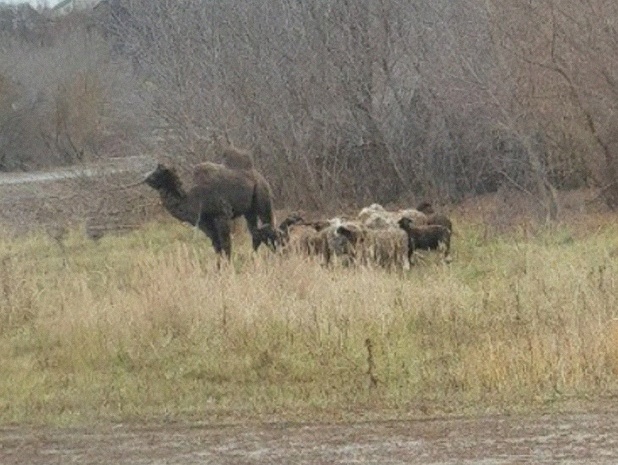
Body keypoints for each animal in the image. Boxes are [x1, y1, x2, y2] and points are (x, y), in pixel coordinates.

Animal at [144, 161, 274, 258]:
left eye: (158, 171)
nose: (145, 177)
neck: (193, 198)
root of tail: (261, 177)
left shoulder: (222, 215)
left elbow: (225, 244)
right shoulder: (204, 223)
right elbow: (217, 246)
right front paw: (218, 269)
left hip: (262, 200)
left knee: (268, 227)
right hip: (249, 211)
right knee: (256, 233)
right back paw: (255, 257)